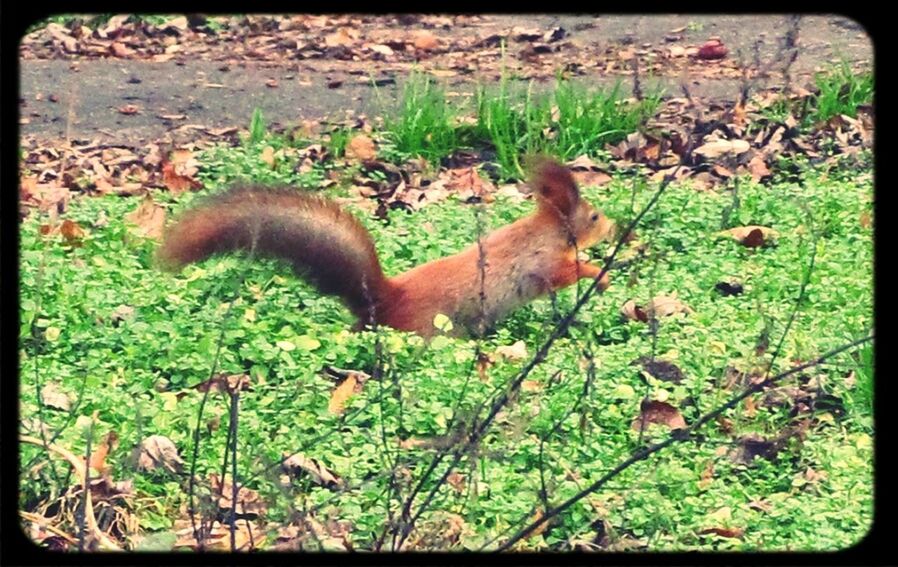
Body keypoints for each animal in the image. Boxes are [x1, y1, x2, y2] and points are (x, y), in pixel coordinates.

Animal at [158, 159, 612, 338]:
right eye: (593, 217)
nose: (613, 226)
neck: (545, 232)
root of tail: (384, 300)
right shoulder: (541, 262)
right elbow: (562, 273)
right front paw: (599, 274)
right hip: (431, 329)